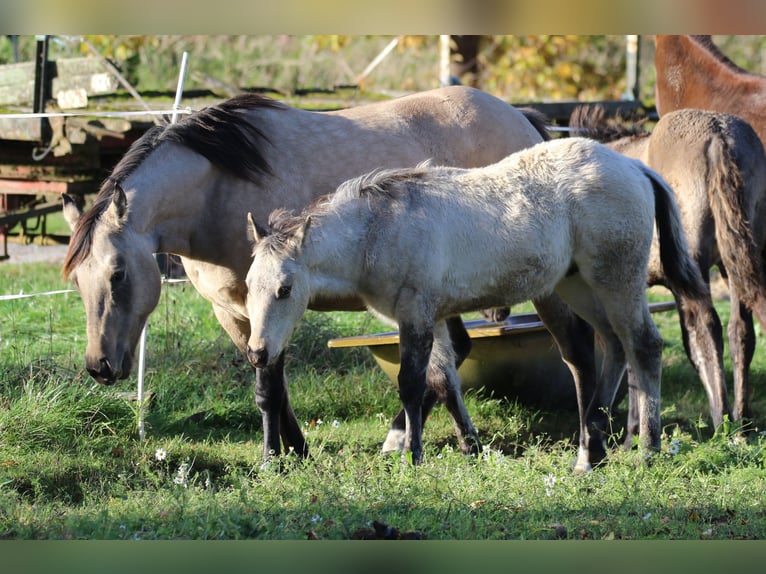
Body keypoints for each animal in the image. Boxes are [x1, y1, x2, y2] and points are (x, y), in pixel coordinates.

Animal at [60, 86, 550, 461]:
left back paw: (402, 439)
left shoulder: (271, 306)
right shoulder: (234, 314)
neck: (216, 190)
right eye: (78, 282)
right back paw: (446, 441)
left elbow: (270, 389)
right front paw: (295, 450)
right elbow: (272, 389)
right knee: (453, 355)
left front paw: (274, 458)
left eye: (118, 274)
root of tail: (521, 117)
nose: (100, 367)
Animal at [244, 137, 708, 469]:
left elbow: (412, 383)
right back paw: (590, 454)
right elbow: (442, 380)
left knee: (643, 344)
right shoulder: (430, 317)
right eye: (248, 286)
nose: (257, 353)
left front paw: (412, 457)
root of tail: (635, 167)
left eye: (285, 289)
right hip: (578, 284)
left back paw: (646, 449)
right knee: (612, 344)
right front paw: (461, 448)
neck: (379, 229)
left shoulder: (415, 313)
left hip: (616, 277)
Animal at [567, 105, 766, 432]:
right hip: (735, 259)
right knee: (741, 330)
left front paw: (632, 429)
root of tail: (719, 134)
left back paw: (721, 419)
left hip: (696, 266)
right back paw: (742, 418)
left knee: (707, 328)